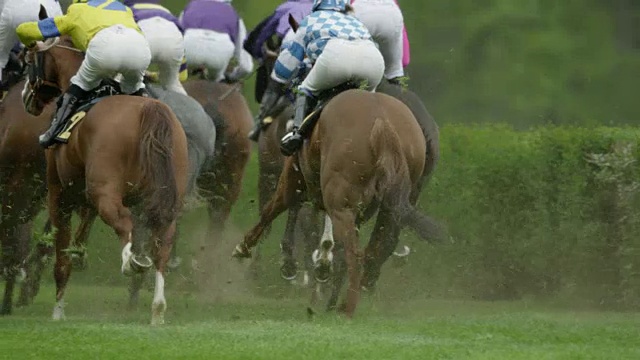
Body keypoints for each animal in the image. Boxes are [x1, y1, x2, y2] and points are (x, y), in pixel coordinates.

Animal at [25, 35, 190, 324]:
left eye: (30, 60)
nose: (26, 97)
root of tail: (149, 109)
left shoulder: (59, 194)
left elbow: (62, 255)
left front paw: (58, 310)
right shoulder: (89, 196)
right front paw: (80, 254)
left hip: (105, 190)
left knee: (122, 220)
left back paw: (131, 262)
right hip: (169, 195)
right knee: (162, 243)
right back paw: (157, 308)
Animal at [232, 89, 442, 318]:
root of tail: (382, 123)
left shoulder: (292, 178)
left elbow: (272, 211)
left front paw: (245, 249)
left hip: (339, 203)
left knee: (353, 253)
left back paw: (345, 306)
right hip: (390, 202)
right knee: (377, 245)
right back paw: (340, 298)